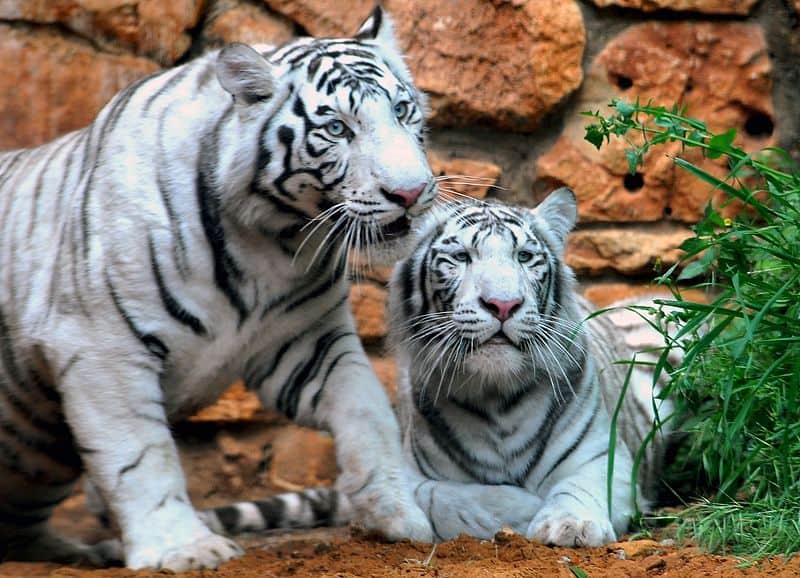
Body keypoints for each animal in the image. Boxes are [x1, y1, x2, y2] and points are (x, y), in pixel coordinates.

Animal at [0, 6, 438, 568]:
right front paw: (183, 548)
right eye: (338, 128)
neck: (269, 240)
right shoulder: (100, 345)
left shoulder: (306, 342)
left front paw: (396, 512)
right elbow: (141, 451)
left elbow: (368, 410)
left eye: (403, 112)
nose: (410, 193)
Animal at [202, 189, 676, 544]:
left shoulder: (601, 457)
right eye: (462, 257)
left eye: (525, 257)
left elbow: (577, 488)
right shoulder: (405, 475)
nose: (503, 304)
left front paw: (570, 525)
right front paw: (521, 508)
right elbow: (448, 497)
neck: (497, 398)